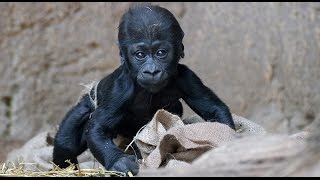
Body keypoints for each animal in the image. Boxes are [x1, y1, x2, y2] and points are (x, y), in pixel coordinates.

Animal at [52, 3, 235, 176]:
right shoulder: (120, 89)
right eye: (140, 55)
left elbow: (213, 109)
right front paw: (119, 162)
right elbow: (98, 129)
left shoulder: (187, 77)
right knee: (67, 141)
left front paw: (229, 143)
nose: (152, 71)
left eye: (161, 53)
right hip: (87, 102)